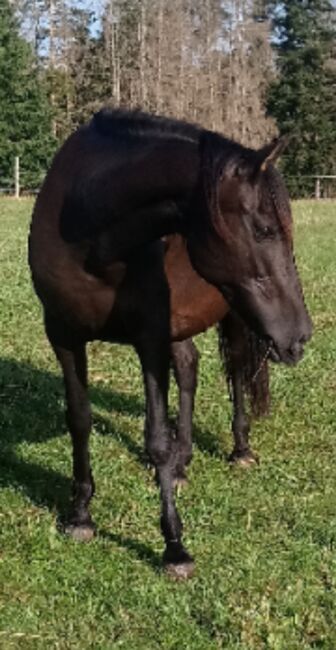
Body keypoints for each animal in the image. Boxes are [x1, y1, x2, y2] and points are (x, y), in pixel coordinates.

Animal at [29, 107, 312, 576]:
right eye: (263, 228)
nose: (300, 336)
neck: (89, 234)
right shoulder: (64, 334)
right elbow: (80, 420)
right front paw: (81, 514)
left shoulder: (149, 338)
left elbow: (156, 439)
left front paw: (174, 547)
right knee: (189, 367)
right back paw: (183, 464)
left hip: (233, 316)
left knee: (236, 371)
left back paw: (239, 449)